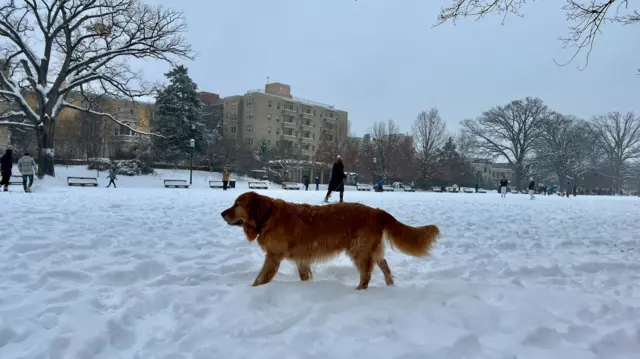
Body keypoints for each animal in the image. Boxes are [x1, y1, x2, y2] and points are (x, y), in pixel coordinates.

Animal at [221, 193, 440, 292]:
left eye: (237, 204)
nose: (222, 213)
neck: (268, 215)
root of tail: (377, 211)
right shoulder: (302, 258)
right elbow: (304, 275)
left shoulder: (273, 257)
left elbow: (260, 278)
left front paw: (252, 290)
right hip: (371, 250)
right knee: (384, 266)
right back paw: (390, 285)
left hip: (359, 250)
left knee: (366, 274)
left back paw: (359, 291)